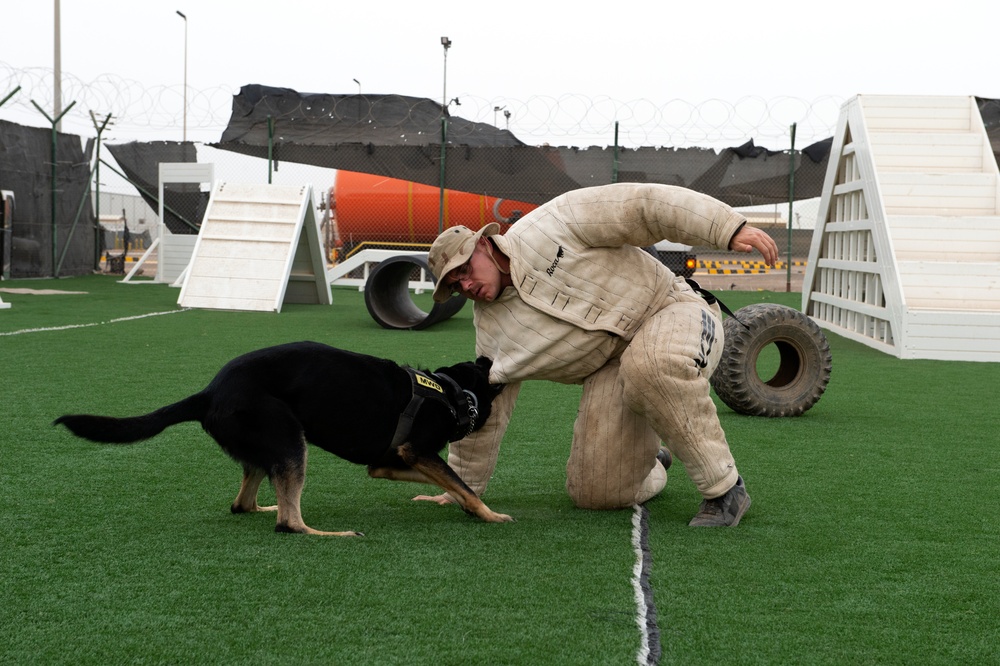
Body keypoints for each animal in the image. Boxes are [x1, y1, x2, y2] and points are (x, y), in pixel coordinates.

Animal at [54, 342, 508, 536]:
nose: (491, 359)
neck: (451, 391)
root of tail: (209, 392)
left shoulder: (390, 462)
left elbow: (449, 483)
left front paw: (459, 505)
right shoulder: (417, 450)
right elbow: (463, 484)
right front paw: (489, 514)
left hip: (268, 447)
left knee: (244, 503)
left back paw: (266, 506)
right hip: (289, 439)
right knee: (288, 524)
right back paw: (328, 534)